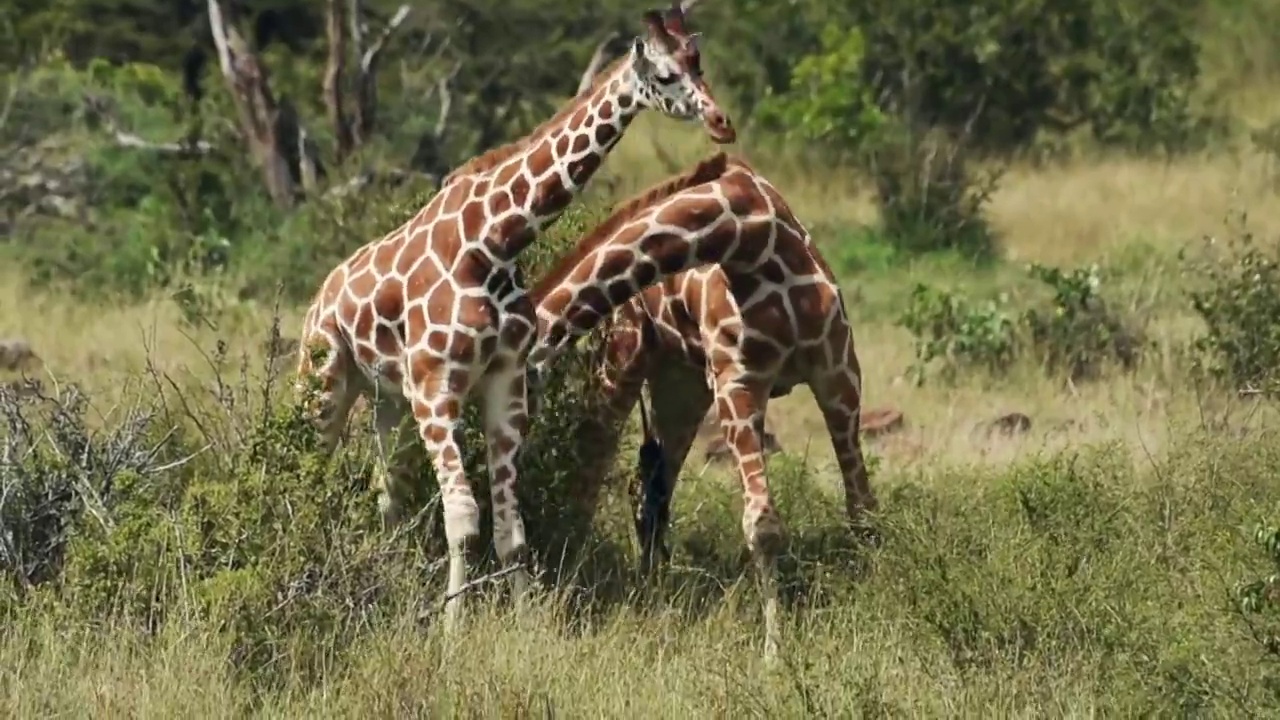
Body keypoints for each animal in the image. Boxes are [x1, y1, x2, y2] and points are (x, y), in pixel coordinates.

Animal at [290, 2, 732, 627]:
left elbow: (510, 529)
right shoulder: (437, 390)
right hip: (326, 378)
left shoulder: (503, 383)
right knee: (308, 466)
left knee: (386, 492)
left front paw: (523, 622)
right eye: (666, 75)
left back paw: (394, 580)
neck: (494, 241)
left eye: (699, 62)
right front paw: (452, 627)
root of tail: (321, 296)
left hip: (387, 399)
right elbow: (462, 519)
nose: (721, 122)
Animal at [527, 151, 880, 655]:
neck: (749, 238)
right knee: (593, 472)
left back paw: (650, 591)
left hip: (682, 383)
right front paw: (774, 653)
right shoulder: (738, 381)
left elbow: (862, 509)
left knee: (649, 488)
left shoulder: (839, 372)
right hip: (625, 359)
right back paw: (575, 583)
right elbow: (763, 526)